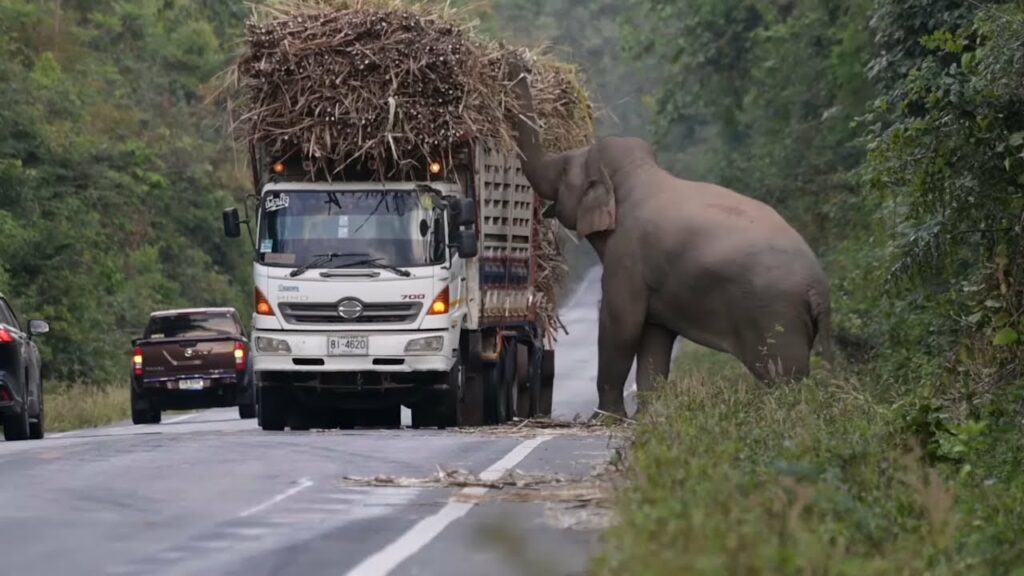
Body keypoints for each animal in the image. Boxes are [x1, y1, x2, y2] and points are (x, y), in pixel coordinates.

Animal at [503, 61, 831, 416]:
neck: (639, 172)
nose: (518, 64)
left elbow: (621, 323)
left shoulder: (627, 255)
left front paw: (605, 419)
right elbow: (655, 336)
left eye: (563, 170)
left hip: (775, 317)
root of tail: (818, 287)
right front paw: (647, 417)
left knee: (784, 377)